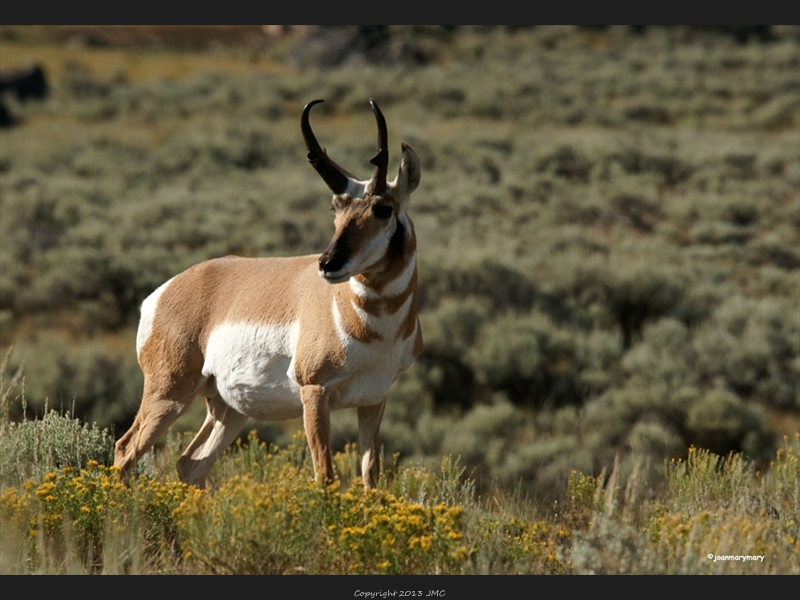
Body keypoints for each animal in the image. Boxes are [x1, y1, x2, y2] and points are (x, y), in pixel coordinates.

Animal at [116, 98, 424, 490]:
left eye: (383, 209)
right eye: (335, 208)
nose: (327, 263)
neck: (373, 324)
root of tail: (163, 292)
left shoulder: (373, 399)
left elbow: (371, 476)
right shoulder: (314, 392)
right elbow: (325, 476)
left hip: (228, 409)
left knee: (190, 464)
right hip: (169, 393)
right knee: (126, 449)